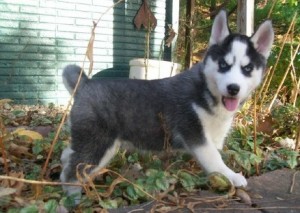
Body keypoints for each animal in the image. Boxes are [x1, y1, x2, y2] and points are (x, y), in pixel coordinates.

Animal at [59, 10, 274, 200]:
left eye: (247, 68)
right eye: (223, 65)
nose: (233, 88)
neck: (206, 91)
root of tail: (84, 84)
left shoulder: (212, 135)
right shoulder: (195, 133)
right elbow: (215, 159)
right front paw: (231, 175)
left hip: (97, 143)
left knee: (69, 156)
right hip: (98, 143)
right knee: (73, 173)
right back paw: (73, 199)